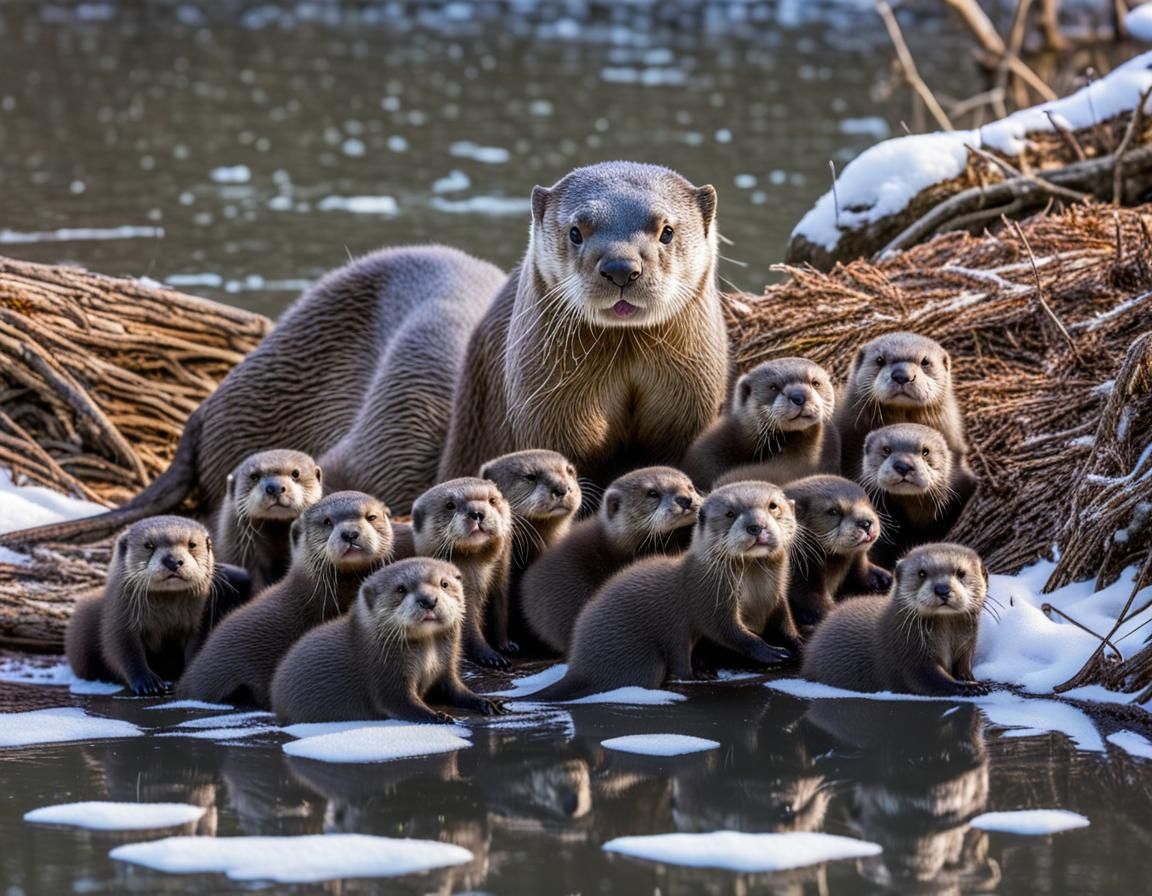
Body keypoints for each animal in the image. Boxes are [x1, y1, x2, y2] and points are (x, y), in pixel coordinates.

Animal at [66, 516, 214, 695]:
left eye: (192, 544)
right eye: (148, 545)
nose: (173, 561)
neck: (165, 616)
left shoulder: (198, 623)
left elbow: (197, 648)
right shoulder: (119, 620)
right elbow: (123, 651)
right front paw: (148, 683)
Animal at [271, 558, 507, 724]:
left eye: (445, 583)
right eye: (400, 589)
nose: (428, 600)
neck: (427, 658)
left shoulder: (445, 668)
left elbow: (456, 689)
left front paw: (487, 702)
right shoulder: (383, 675)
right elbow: (399, 702)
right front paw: (438, 716)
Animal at [410, 477, 514, 669]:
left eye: (492, 500)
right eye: (450, 505)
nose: (477, 512)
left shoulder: (502, 580)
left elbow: (501, 613)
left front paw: (506, 644)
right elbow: (468, 629)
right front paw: (491, 656)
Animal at [528, 482, 797, 701]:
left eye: (773, 506)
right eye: (731, 514)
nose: (756, 526)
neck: (755, 592)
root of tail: (578, 667)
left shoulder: (778, 597)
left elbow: (786, 623)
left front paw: (796, 642)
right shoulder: (709, 598)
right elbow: (729, 631)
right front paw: (772, 652)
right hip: (644, 657)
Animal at [801, 543, 990, 696]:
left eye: (961, 573)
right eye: (922, 573)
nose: (942, 589)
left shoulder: (966, 647)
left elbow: (963, 665)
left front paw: (973, 680)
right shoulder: (908, 654)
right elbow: (927, 678)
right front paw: (969, 687)